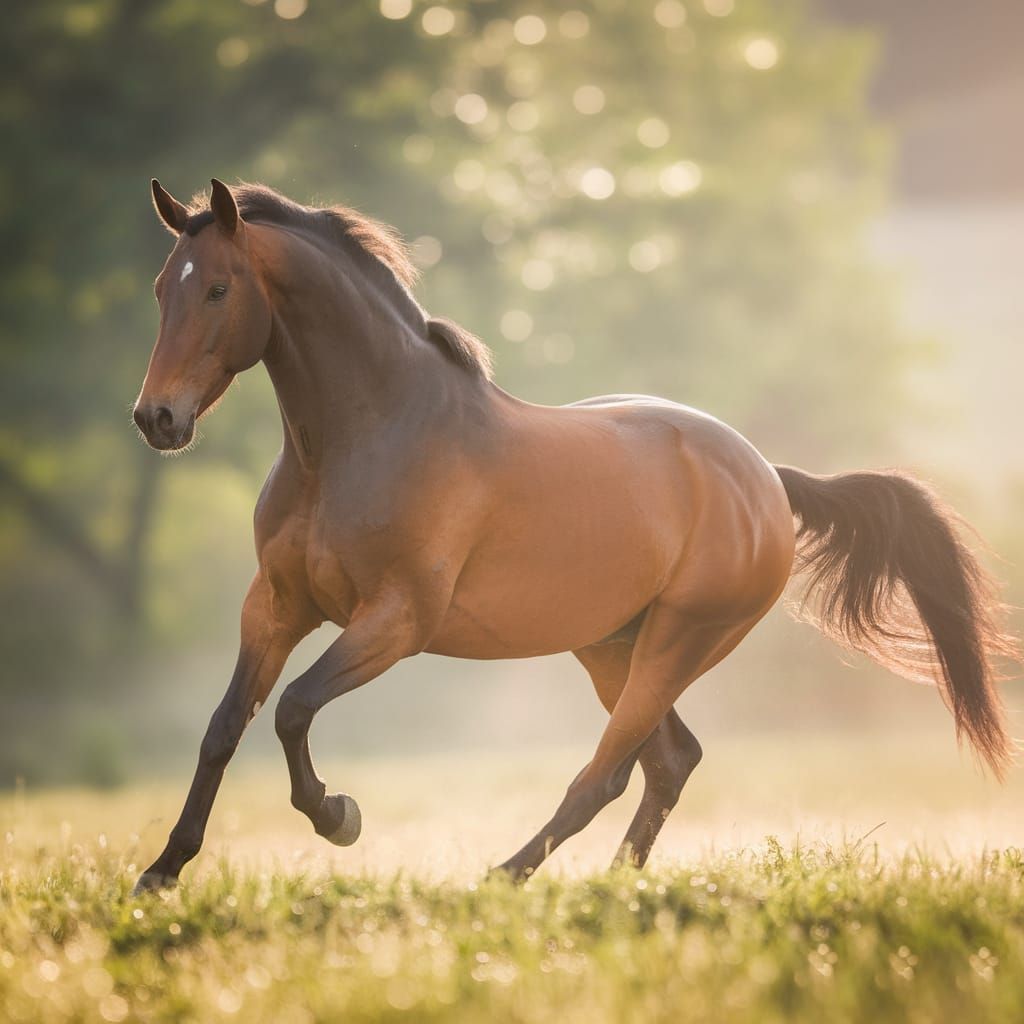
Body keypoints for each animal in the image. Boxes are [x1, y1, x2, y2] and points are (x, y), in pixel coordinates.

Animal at [131, 178, 1017, 892]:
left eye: (218, 289)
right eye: (161, 290)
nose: (157, 418)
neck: (366, 436)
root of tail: (765, 474)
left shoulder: (396, 621)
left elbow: (292, 708)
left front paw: (337, 815)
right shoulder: (276, 606)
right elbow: (224, 727)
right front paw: (162, 871)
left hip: (677, 644)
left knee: (607, 773)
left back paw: (506, 876)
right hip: (610, 647)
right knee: (667, 763)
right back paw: (613, 884)